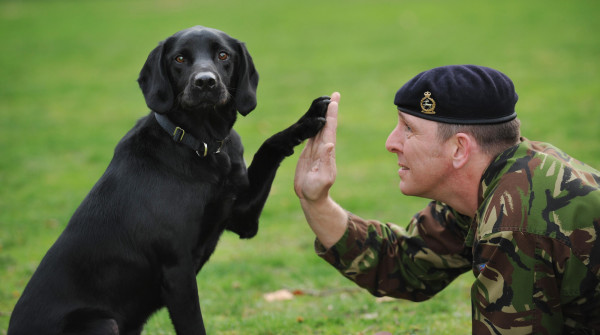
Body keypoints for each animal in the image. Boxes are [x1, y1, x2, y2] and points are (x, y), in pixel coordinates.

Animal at [8, 25, 328, 335]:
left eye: (223, 55)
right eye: (180, 59)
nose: (205, 82)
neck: (202, 144)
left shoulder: (243, 219)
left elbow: (269, 145)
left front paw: (308, 119)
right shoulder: (177, 271)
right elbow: (194, 326)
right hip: (104, 323)